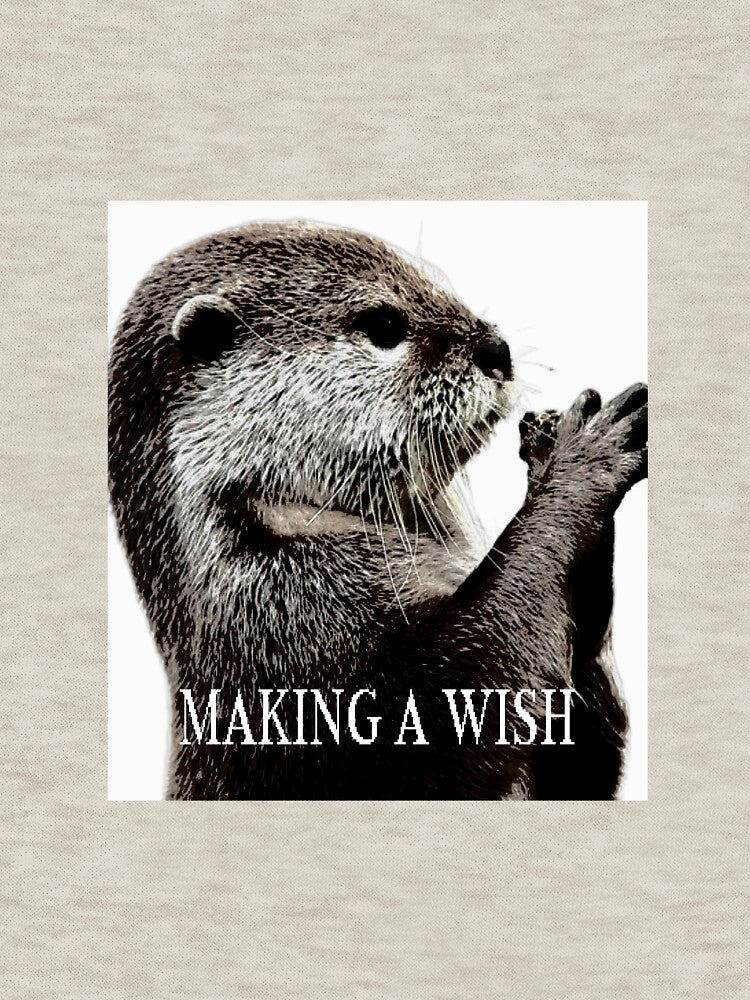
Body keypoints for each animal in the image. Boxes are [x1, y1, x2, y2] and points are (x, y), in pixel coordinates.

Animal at [108, 220, 646, 799]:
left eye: (437, 285)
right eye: (385, 324)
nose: (496, 348)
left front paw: (550, 445)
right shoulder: (308, 672)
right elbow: (466, 694)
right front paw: (580, 459)